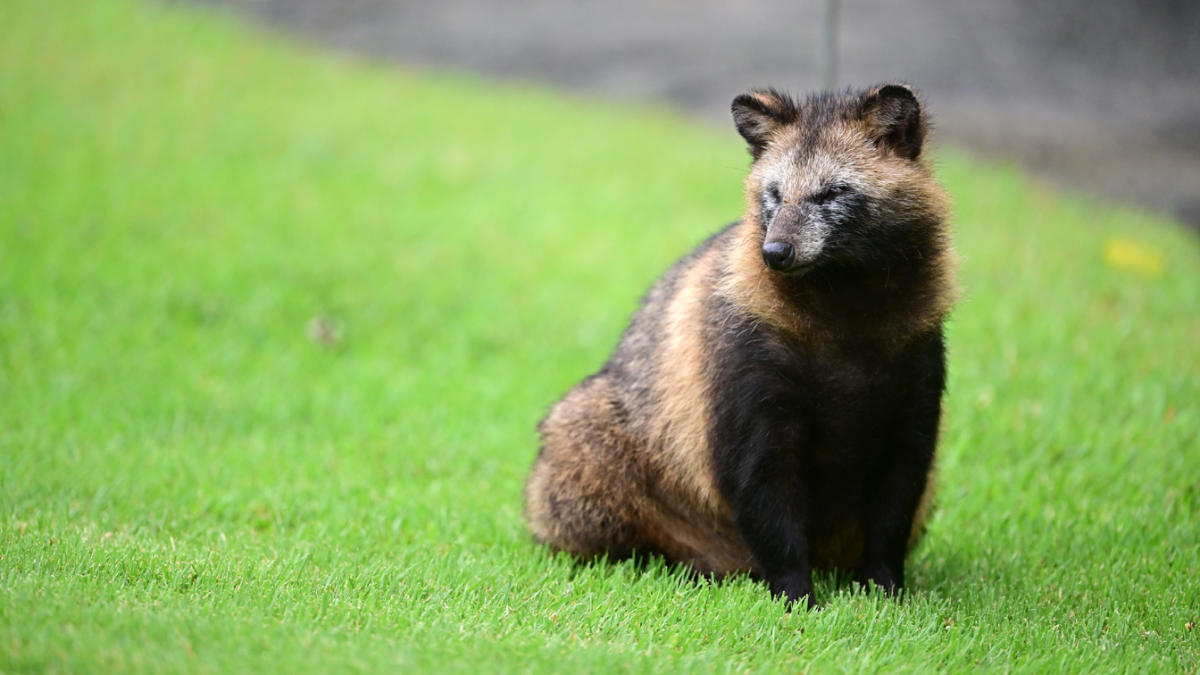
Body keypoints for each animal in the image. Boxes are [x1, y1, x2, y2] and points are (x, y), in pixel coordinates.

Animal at [524, 83, 956, 608]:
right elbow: (757, 474)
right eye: (774, 193)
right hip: (593, 445)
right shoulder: (742, 353)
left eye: (833, 191)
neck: (842, 291)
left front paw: (883, 585)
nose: (775, 253)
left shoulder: (916, 363)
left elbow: (902, 483)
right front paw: (795, 592)